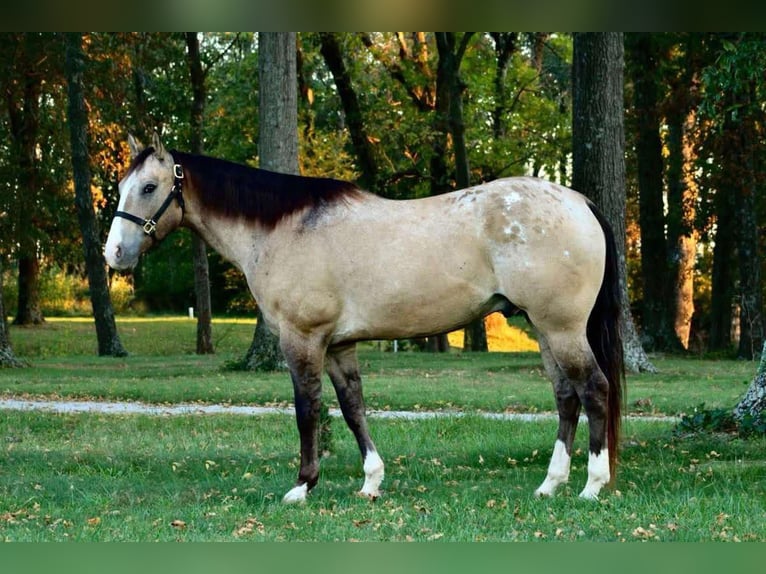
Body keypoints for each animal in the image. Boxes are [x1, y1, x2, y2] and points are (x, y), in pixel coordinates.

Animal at [104, 132, 624, 503]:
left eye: (149, 187)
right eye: (121, 187)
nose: (114, 255)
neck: (284, 229)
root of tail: (580, 202)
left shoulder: (303, 339)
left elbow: (308, 409)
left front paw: (302, 485)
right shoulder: (338, 345)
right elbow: (353, 408)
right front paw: (371, 481)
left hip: (561, 328)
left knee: (594, 389)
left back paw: (591, 486)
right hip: (544, 329)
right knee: (566, 397)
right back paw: (550, 485)